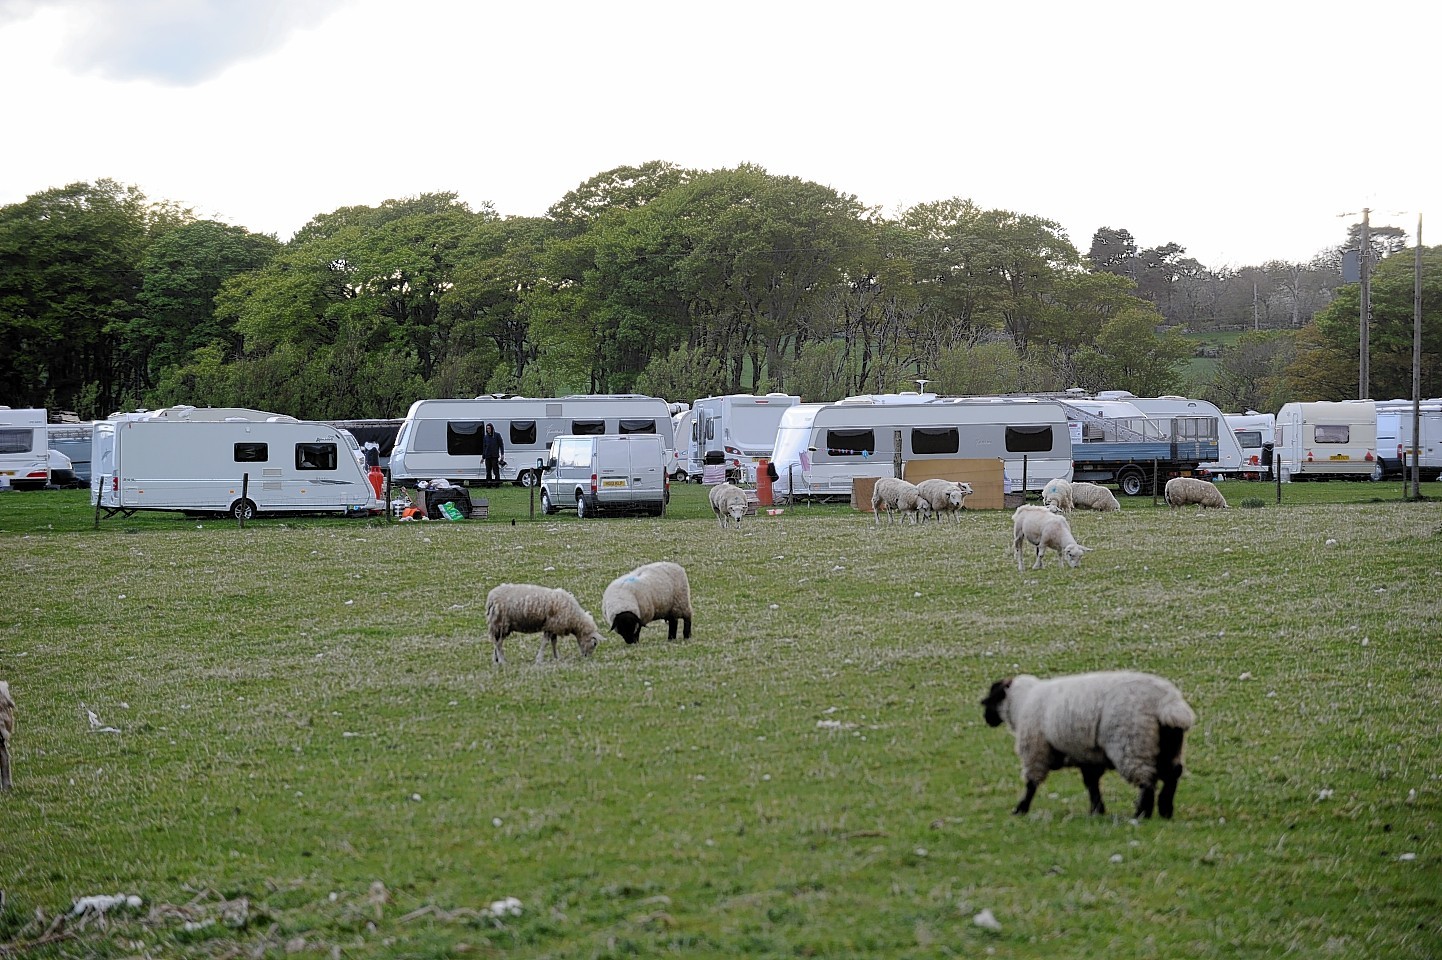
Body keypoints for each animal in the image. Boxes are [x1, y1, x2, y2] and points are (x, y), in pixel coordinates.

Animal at [980, 668, 1193, 818]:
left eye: (991, 699)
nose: (987, 719)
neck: (1021, 703)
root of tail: (1168, 703)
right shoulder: (1087, 755)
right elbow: (1091, 783)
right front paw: (1097, 810)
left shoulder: (1036, 750)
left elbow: (1031, 783)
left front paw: (1020, 809)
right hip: (1169, 746)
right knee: (1172, 774)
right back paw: (1165, 810)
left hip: (1132, 743)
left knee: (1147, 779)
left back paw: (1142, 813)